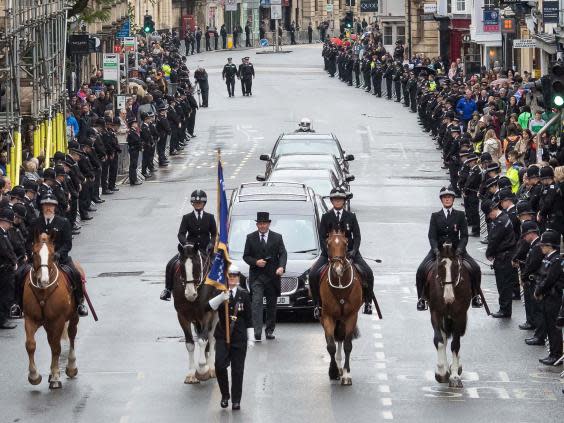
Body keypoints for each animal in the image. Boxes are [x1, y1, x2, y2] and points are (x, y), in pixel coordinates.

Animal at [23, 235, 81, 390]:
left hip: (73, 317)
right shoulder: (30, 318)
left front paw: (55, 377)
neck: (43, 291)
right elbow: (30, 345)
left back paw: (71, 367)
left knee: (71, 335)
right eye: (34, 253)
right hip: (48, 324)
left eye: (52, 254)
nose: (43, 280)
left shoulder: (58, 320)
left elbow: (56, 348)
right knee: (51, 341)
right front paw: (34, 376)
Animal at [170, 243, 216, 386]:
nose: (190, 294)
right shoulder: (182, 316)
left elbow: (203, 340)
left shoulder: (207, 314)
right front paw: (191, 374)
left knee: (211, 338)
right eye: (181, 266)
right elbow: (190, 344)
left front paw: (203, 369)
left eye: (196, 265)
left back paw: (211, 367)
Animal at [320, 230, 364, 386]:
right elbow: (331, 345)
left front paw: (346, 375)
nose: (337, 268)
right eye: (328, 244)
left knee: (341, 337)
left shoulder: (351, 316)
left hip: (343, 319)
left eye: (345, 244)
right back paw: (337, 368)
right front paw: (333, 371)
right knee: (336, 338)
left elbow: (347, 345)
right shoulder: (327, 316)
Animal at [426, 243, 474, 390]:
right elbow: (439, 341)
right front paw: (441, 373)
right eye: (440, 267)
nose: (448, 298)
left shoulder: (459, 315)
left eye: (456, 267)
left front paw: (454, 376)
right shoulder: (436, 313)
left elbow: (455, 345)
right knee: (444, 337)